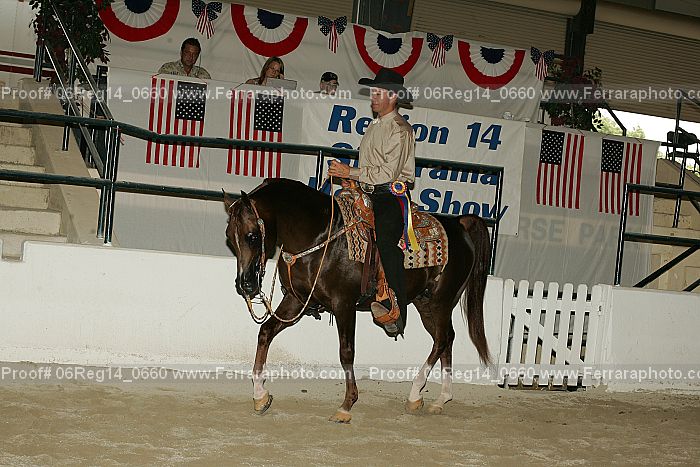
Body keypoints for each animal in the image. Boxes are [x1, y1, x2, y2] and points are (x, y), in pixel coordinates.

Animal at [223, 178, 491, 423]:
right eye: (229, 237)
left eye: (252, 236)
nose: (245, 284)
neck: (318, 235)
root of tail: (458, 223)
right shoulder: (295, 300)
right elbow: (266, 332)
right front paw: (260, 396)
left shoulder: (344, 304)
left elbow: (346, 352)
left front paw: (346, 406)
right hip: (426, 304)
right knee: (446, 339)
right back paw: (440, 399)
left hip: (440, 301)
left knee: (442, 339)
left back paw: (415, 394)